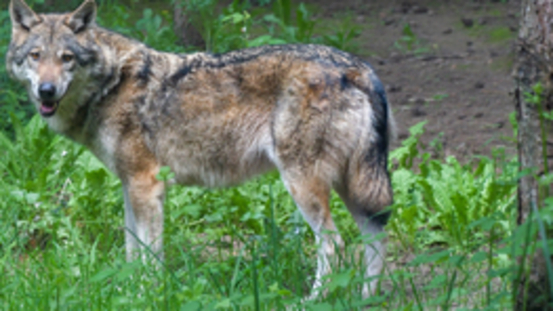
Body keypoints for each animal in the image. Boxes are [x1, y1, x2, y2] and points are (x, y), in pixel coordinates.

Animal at [7, 0, 392, 298]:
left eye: (67, 58)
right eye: (36, 56)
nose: (46, 90)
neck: (111, 84)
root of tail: (359, 68)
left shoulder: (147, 185)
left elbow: (150, 255)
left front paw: (147, 294)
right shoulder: (130, 186)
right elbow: (132, 251)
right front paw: (126, 292)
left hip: (304, 185)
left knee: (335, 245)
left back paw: (312, 301)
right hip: (353, 186)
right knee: (374, 238)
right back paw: (366, 298)